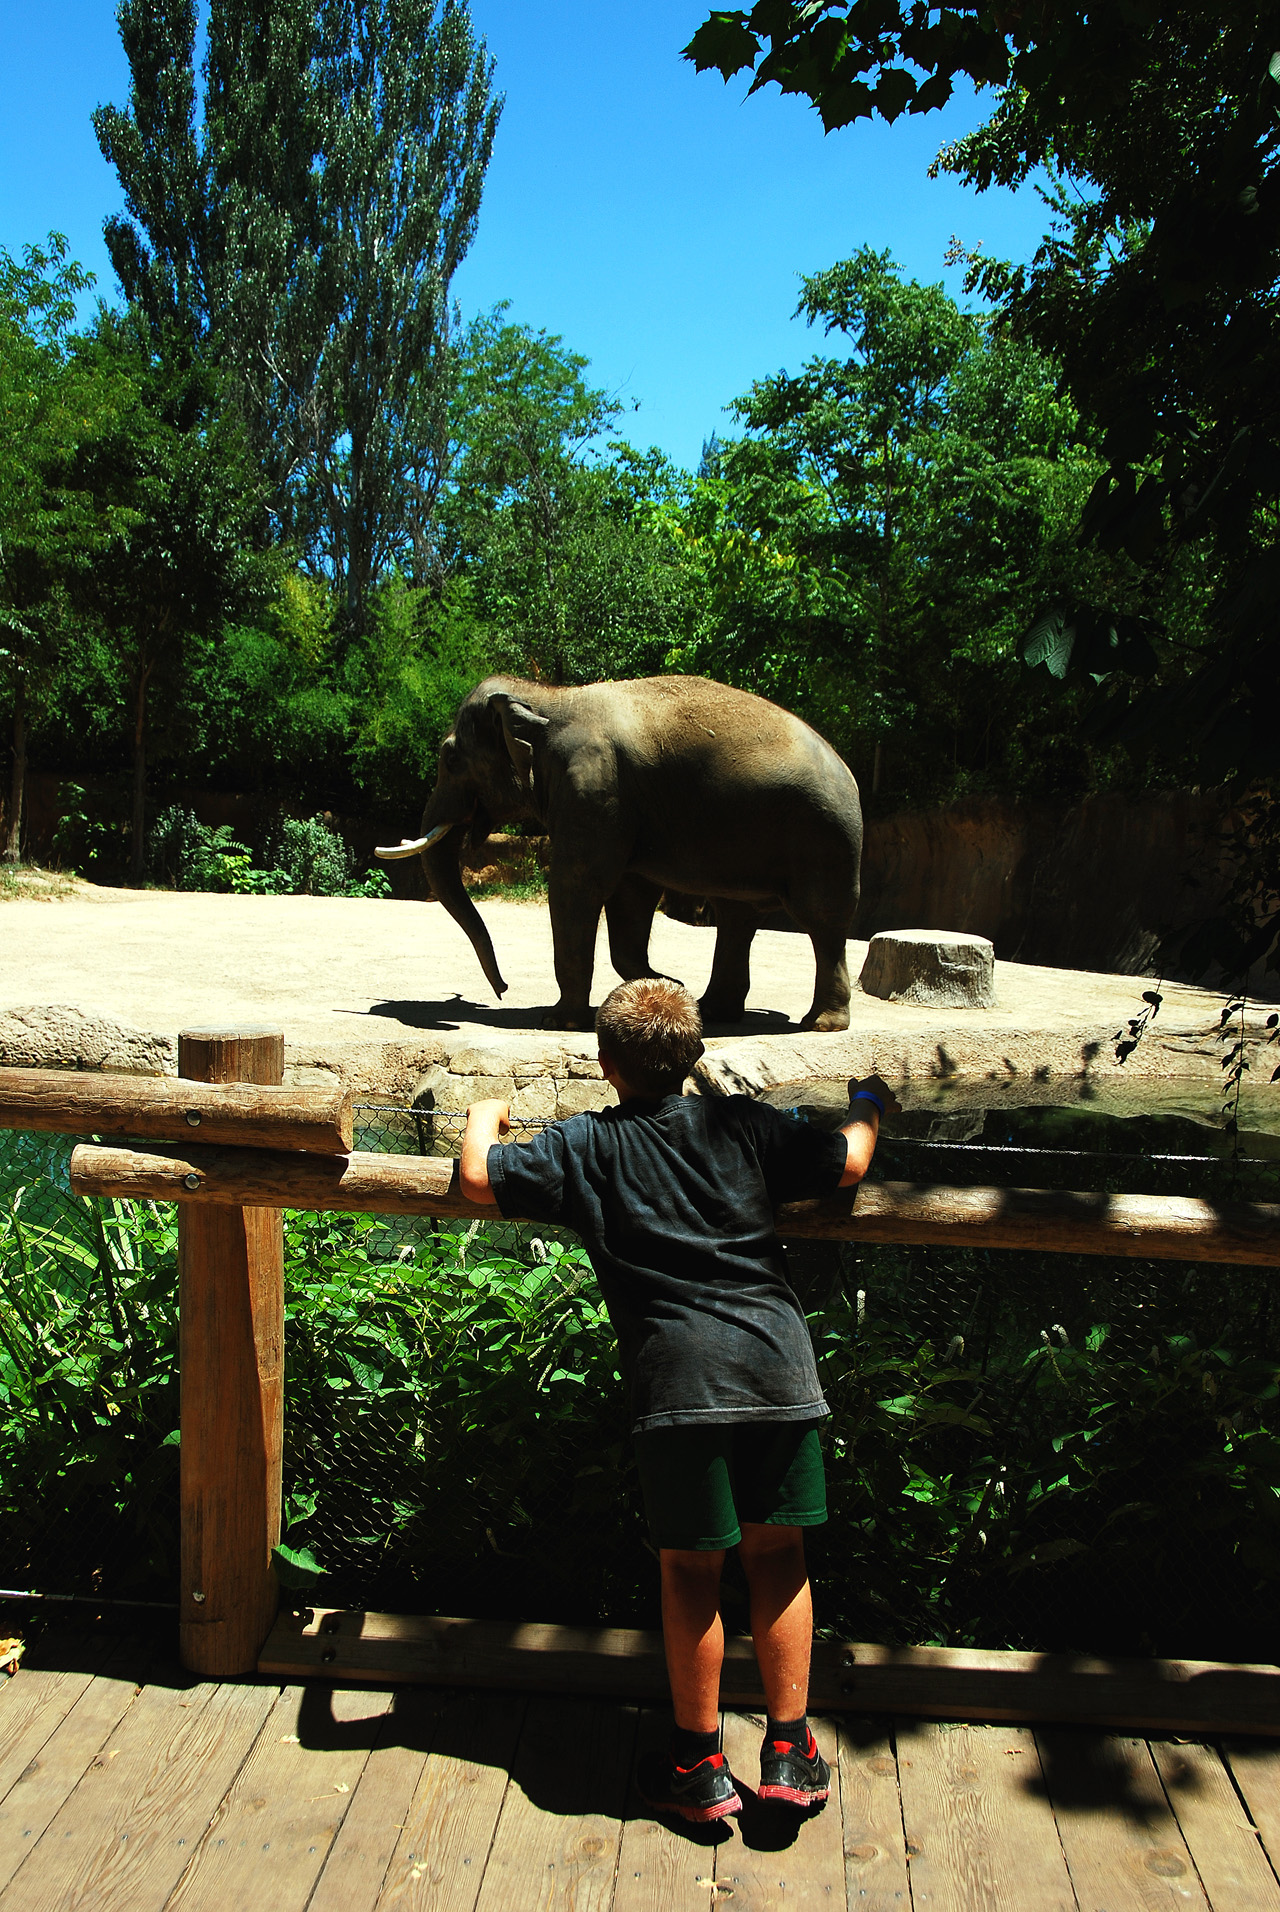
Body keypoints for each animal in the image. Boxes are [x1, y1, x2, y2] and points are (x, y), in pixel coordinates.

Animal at [375, 673, 864, 1032]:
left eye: (450, 760)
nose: (503, 990)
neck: (549, 698)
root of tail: (847, 770)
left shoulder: (594, 790)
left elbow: (577, 886)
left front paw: (558, 1021)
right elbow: (630, 896)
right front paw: (665, 986)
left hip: (823, 838)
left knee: (820, 920)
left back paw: (820, 1024)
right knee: (737, 918)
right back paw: (713, 1011)